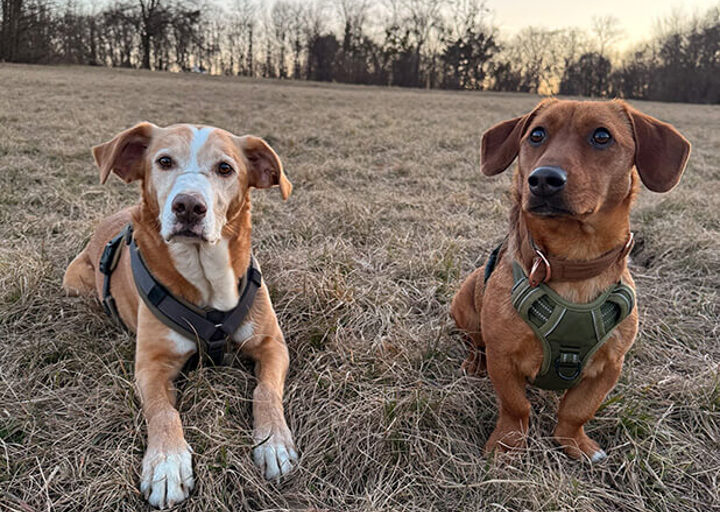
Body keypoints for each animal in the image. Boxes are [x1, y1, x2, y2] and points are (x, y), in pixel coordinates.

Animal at [62, 122, 297, 508]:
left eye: (225, 168)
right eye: (164, 161)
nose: (188, 206)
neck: (207, 282)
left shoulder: (272, 344)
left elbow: (264, 391)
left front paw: (273, 441)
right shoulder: (151, 366)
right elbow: (163, 411)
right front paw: (167, 464)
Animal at [450, 99, 690, 461]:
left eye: (602, 136)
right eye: (536, 134)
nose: (543, 179)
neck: (572, 265)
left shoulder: (609, 367)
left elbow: (577, 410)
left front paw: (574, 443)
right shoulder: (502, 358)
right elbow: (516, 406)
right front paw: (508, 443)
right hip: (465, 308)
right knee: (474, 344)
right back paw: (473, 363)